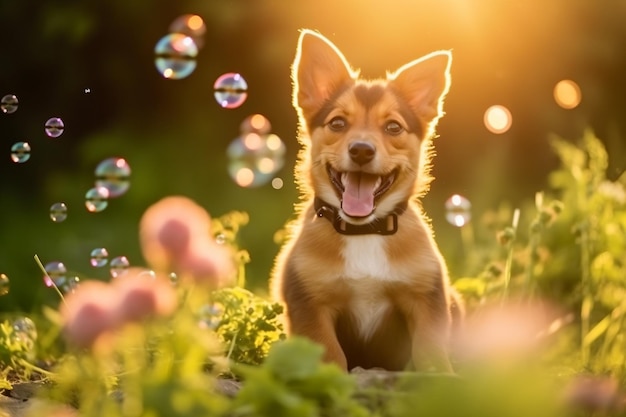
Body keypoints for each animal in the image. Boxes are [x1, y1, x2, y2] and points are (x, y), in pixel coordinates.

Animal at [270, 30, 460, 370]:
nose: (361, 150)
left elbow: (430, 352)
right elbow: (330, 357)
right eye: (337, 123)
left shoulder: (427, 299)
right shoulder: (310, 305)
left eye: (393, 127)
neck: (364, 231)